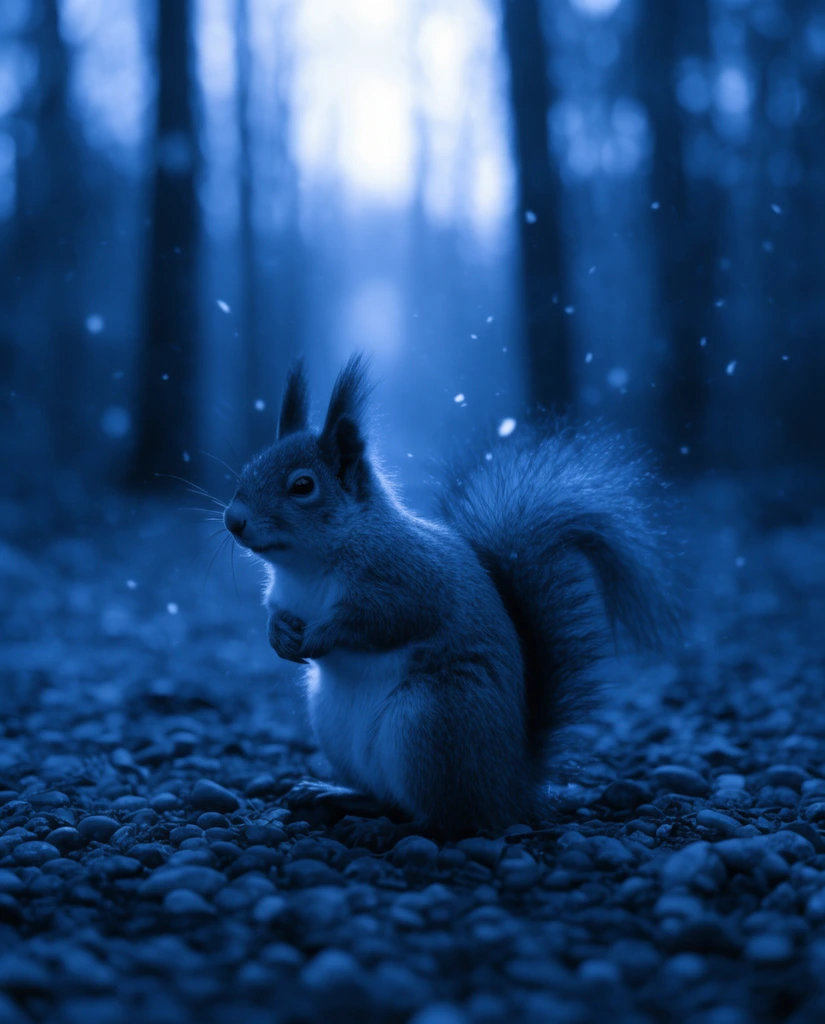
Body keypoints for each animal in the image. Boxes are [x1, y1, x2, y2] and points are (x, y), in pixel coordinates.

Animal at [224, 353, 676, 839]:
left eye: (303, 486)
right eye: (247, 469)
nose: (233, 520)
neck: (309, 565)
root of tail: (512, 784)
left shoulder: (410, 582)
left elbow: (383, 621)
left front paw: (318, 637)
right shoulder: (283, 595)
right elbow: (275, 614)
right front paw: (279, 638)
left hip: (431, 721)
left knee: (450, 817)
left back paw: (395, 829)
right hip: (335, 725)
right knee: (390, 799)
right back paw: (335, 794)